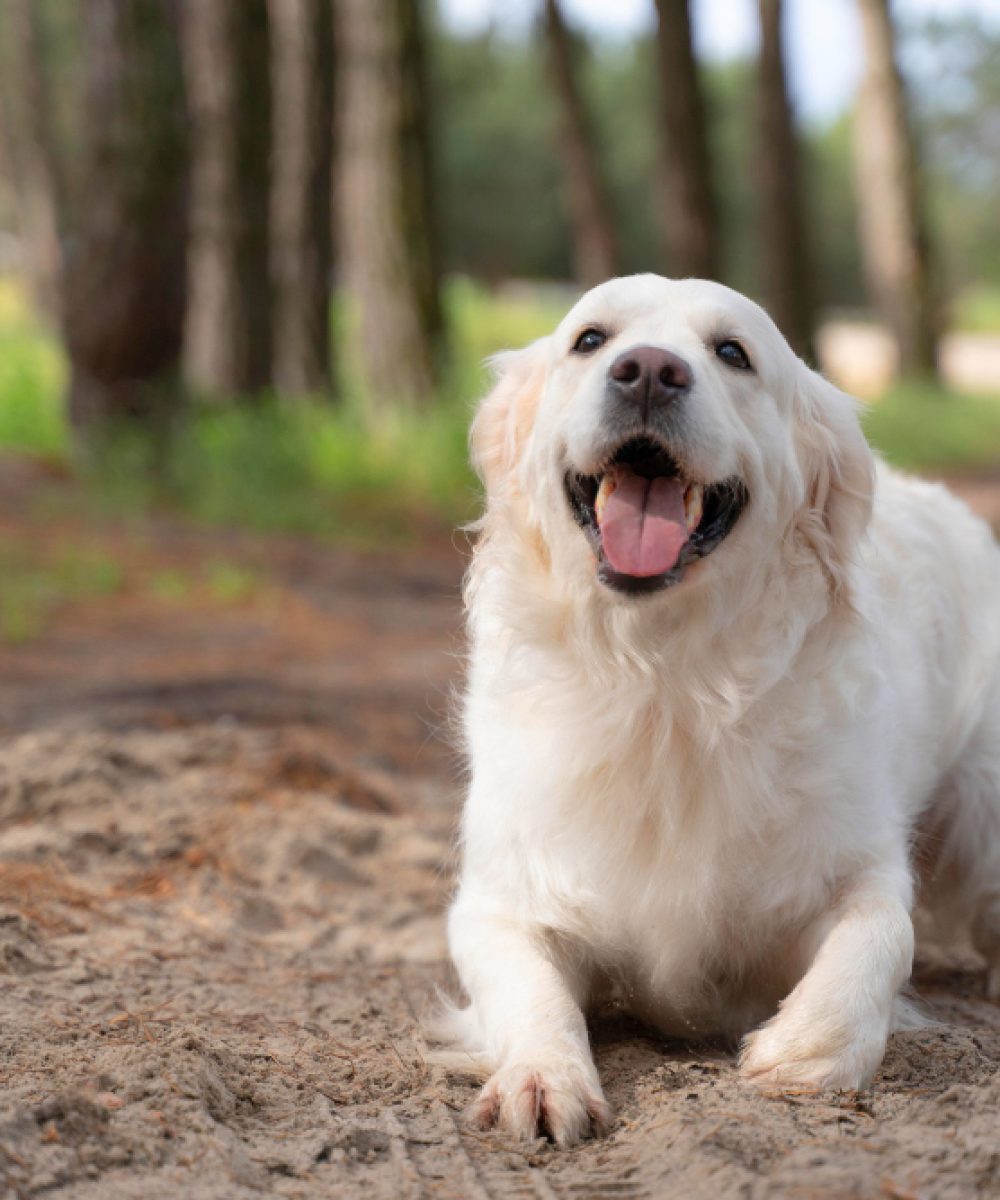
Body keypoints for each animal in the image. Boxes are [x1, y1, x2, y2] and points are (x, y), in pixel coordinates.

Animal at [441, 276, 998, 1147]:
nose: (647, 371)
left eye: (733, 352)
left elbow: (884, 931)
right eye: (591, 340)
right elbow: (528, 987)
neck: (665, 680)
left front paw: (806, 1049)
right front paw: (543, 1077)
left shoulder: (853, 861)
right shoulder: (502, 896)